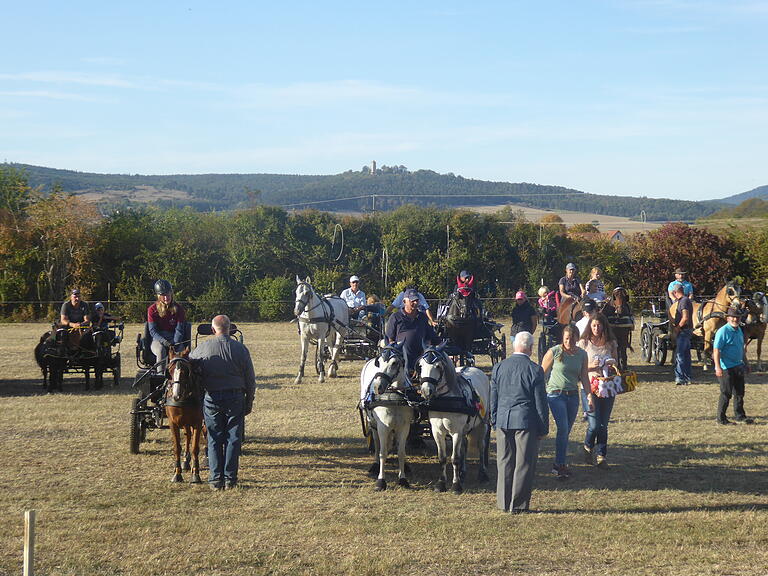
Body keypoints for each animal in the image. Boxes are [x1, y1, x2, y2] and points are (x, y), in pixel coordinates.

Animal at [164, 346, 204, 486]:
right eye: (170, 370)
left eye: (186, 371)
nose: (176, 395)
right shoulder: (173, 423)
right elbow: (177, 447)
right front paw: (177, 474)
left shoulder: (198, 422)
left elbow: (195, 448)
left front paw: (196, 474)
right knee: (187, 436)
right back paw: (186, 462)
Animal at [362, 342, 414, 490]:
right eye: (378, 362)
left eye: (395, 363)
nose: (377, 387)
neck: (394, 396)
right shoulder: (383, 426)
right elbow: (383, 452)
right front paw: (381, 481)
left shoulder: (404, 426)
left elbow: (401, 452)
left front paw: (403, 479)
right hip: (373, 423)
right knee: (377, 442)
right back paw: (375, 464)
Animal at [416, 344, 488, 492]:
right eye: (420, 365)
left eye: (438, 366)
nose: (426, 391)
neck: (446, 401)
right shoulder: (437, 432)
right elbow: (442, 457)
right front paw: (441, 483)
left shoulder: (456, 432)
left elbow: (455, 458)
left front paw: (456, 485)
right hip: (465, 429)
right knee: (464, 446)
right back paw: (463, 472)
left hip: (483, 423)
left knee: (481, 445)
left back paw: (482, 473)